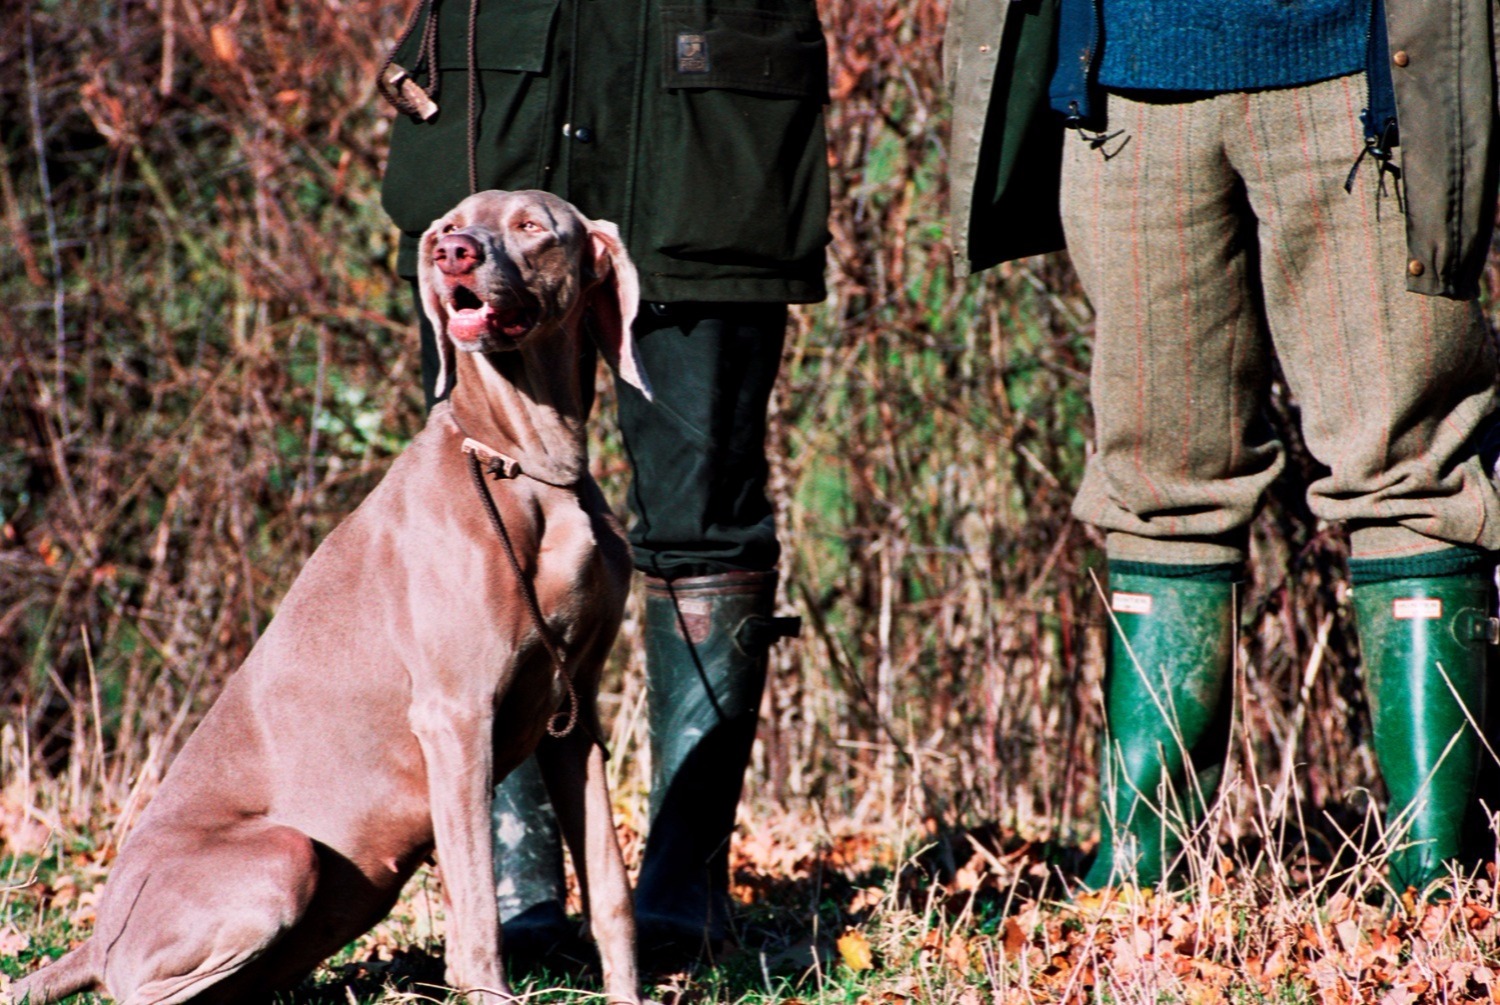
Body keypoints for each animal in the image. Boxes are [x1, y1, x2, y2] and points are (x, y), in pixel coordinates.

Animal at [11, 191, 648, 1005]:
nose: (454, 253)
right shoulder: (455, 714)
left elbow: (610, 888)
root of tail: (98, 935)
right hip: (285, 856)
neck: (532, 467)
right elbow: (478, 914)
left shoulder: (575, 711)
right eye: (451, 224)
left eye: (533, 226)